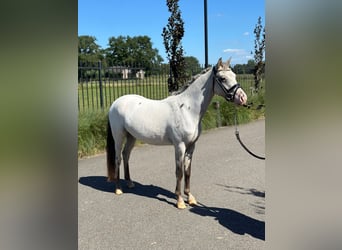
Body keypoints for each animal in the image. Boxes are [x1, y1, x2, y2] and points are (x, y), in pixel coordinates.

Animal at [105, 57, 247, 208]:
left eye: (234, 76)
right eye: (223, 78)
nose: (243, 98)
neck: (187, 109)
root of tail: (115, 103)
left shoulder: (191, 146)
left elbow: (187, 171)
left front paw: (190, 197)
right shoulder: (180, 146)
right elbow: (179, 172)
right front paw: (179, 201)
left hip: (131, 136)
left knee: (126, 155)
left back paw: (130, 183)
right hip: (119, 136)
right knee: (118, 158)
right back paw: (118, 188)